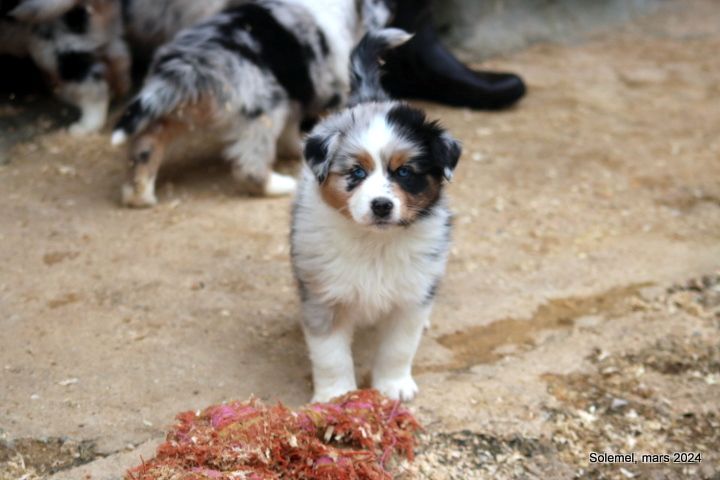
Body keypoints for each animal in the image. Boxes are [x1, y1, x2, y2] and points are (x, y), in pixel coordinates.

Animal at [292, 27, 462, 402]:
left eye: (404, 172)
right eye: (357, 172)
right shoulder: (324, 295)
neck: (375, 243)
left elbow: (399, 347)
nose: (381, 205)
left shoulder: (410, 298)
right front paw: (335, 396)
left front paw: (393, 386)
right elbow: (331, 355)